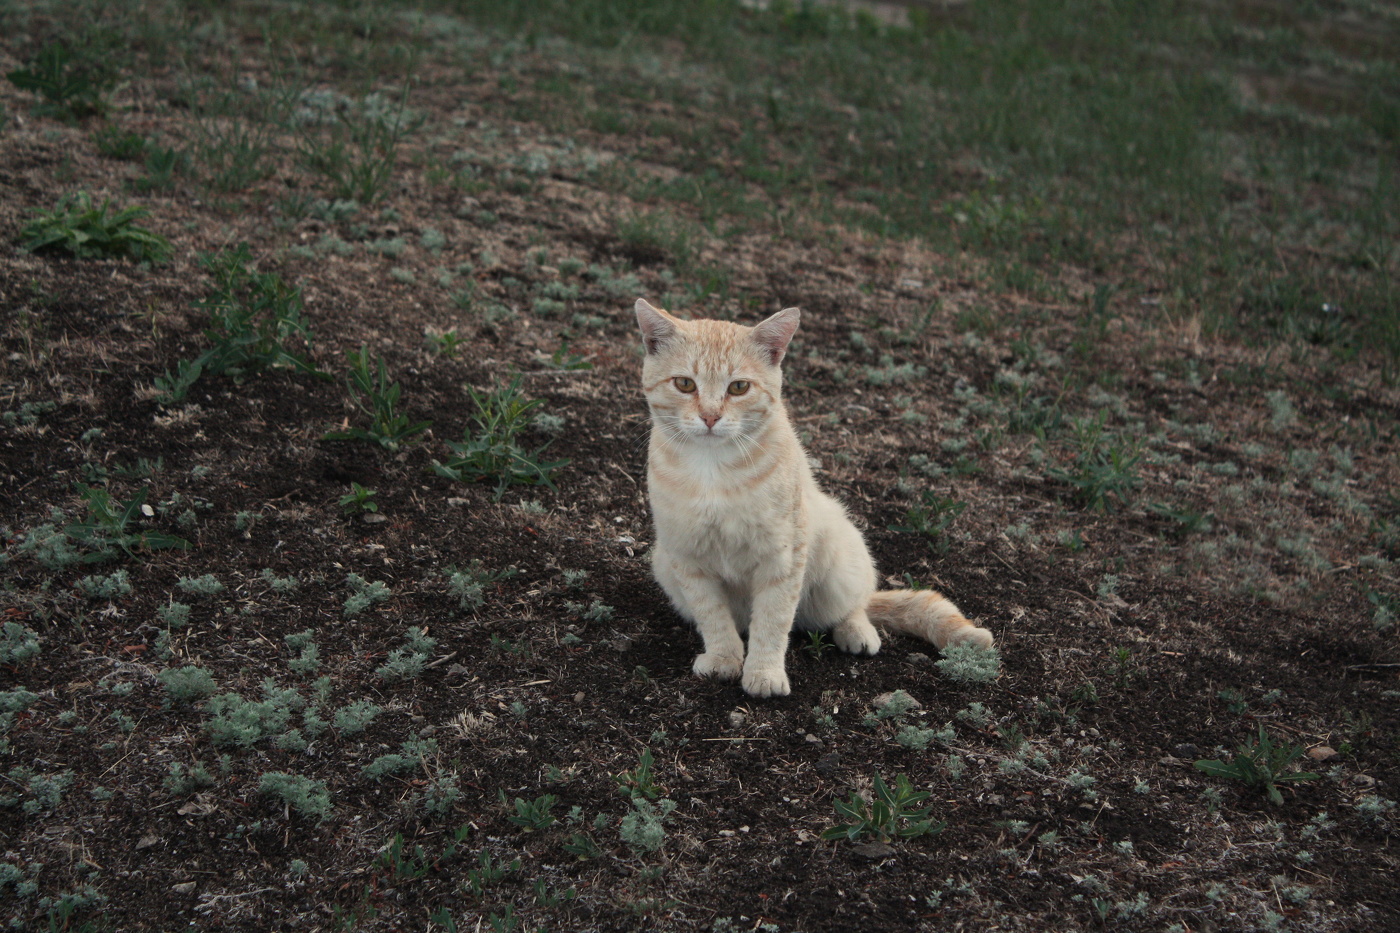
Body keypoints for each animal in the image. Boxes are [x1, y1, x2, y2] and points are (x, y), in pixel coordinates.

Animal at [635, 294, 996, 694]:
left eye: (739, 388)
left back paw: (857, 632)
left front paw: (764, 673)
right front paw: (723, 659)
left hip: (839, 559)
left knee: (854, 605)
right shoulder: (688, 559)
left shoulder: (783, 557)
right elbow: (713, 617)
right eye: (684, 384)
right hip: (664, 566)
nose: (710, 417)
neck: (712, 469)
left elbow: (773, 621)